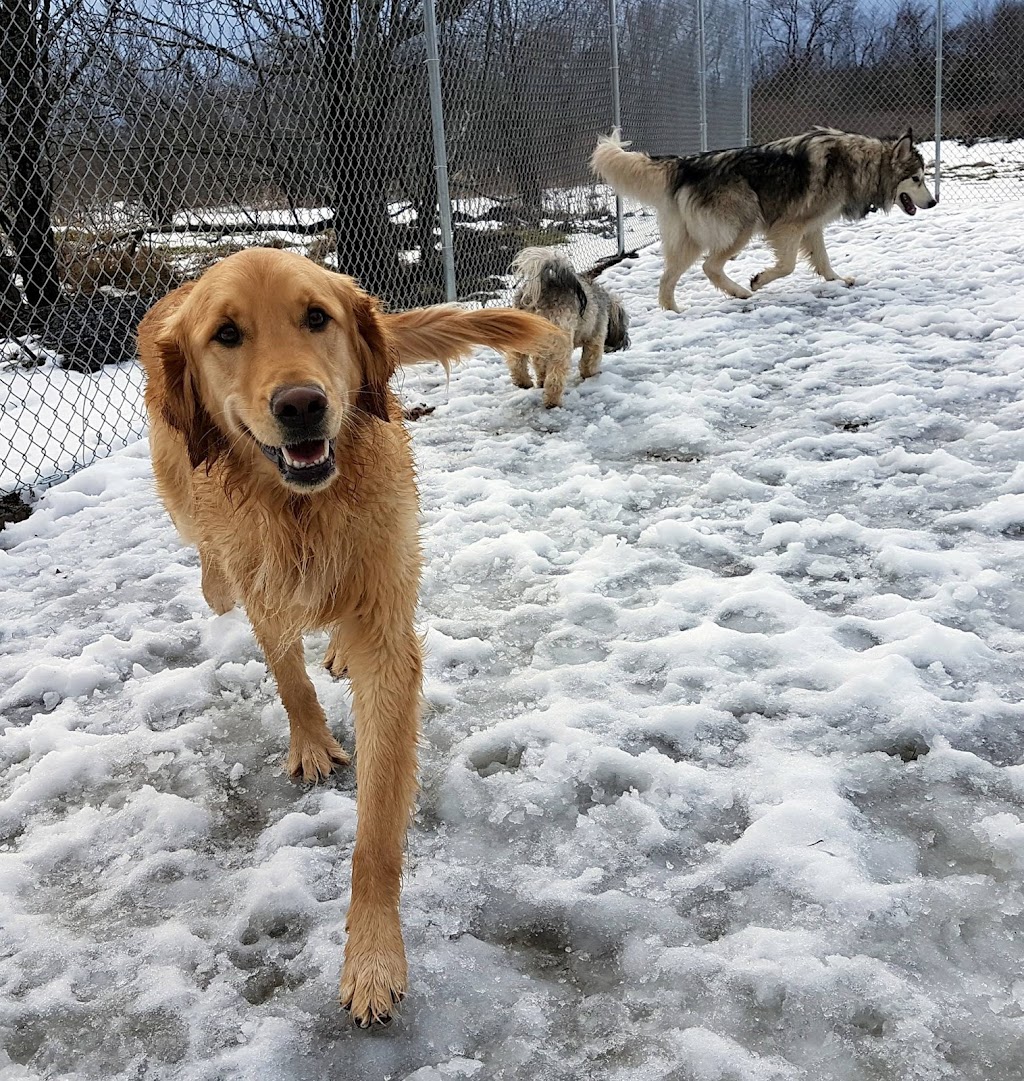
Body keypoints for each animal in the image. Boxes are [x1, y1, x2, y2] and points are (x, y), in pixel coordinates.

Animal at [137, 247, 557, 1029]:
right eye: (227, 335)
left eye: (316, 317)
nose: (300, 404)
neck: (304, 511)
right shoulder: (265, 593)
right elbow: (288, 677)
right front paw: (309, 741)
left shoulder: (387, 628)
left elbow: (377, 831)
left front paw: (372, 957)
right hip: (181, 490)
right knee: (209, 563)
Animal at [508, 247, 627, 406]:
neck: (606, 304)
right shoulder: (596, 337)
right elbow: (590, 360)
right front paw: (591, 375)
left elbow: (540, 366)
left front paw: (540, 382)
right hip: (561, 344)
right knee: (555, 376)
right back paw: (553, 401)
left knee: (516, 360)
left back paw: (523, 382)